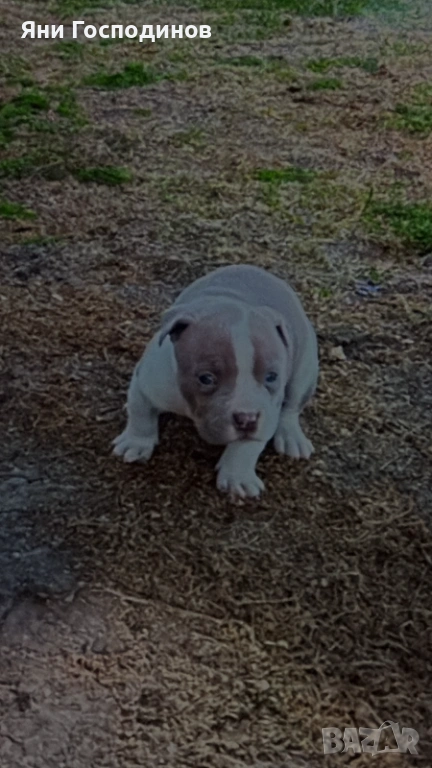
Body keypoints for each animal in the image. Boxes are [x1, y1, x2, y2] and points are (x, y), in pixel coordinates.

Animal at [113, 264, 318, 498]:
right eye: (206, 378)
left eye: (272, 377)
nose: (247, 419)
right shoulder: (147, 383)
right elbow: (140, 413)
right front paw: (135, 443)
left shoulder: (268, 411)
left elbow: (248, 445)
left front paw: (238, 476)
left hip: (305, 370)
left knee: (292, 407)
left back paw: (292, 437)